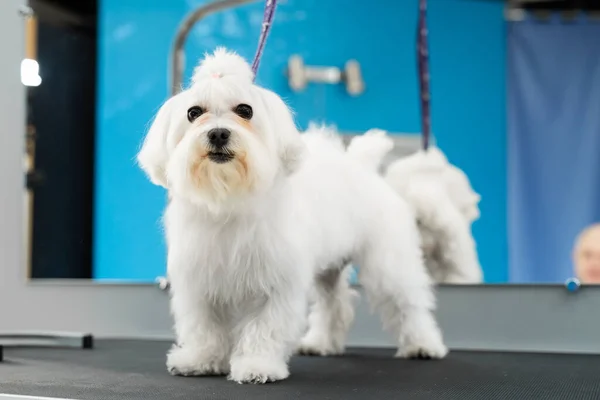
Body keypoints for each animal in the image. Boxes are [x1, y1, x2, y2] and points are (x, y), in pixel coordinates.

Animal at [136, 49, 446, 384]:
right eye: (194, 113)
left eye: (245, 110)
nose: (218, 133)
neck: (230, 198)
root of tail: (363, 166)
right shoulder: (200, 282)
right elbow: (204, 328)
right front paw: (200, 360)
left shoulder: (275, 283)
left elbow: (264, 328)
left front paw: (257, 366)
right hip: (329, 267)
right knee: (334, 304)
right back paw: (321, 342)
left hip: (388, 262)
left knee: (408, 304)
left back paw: (423, 345)